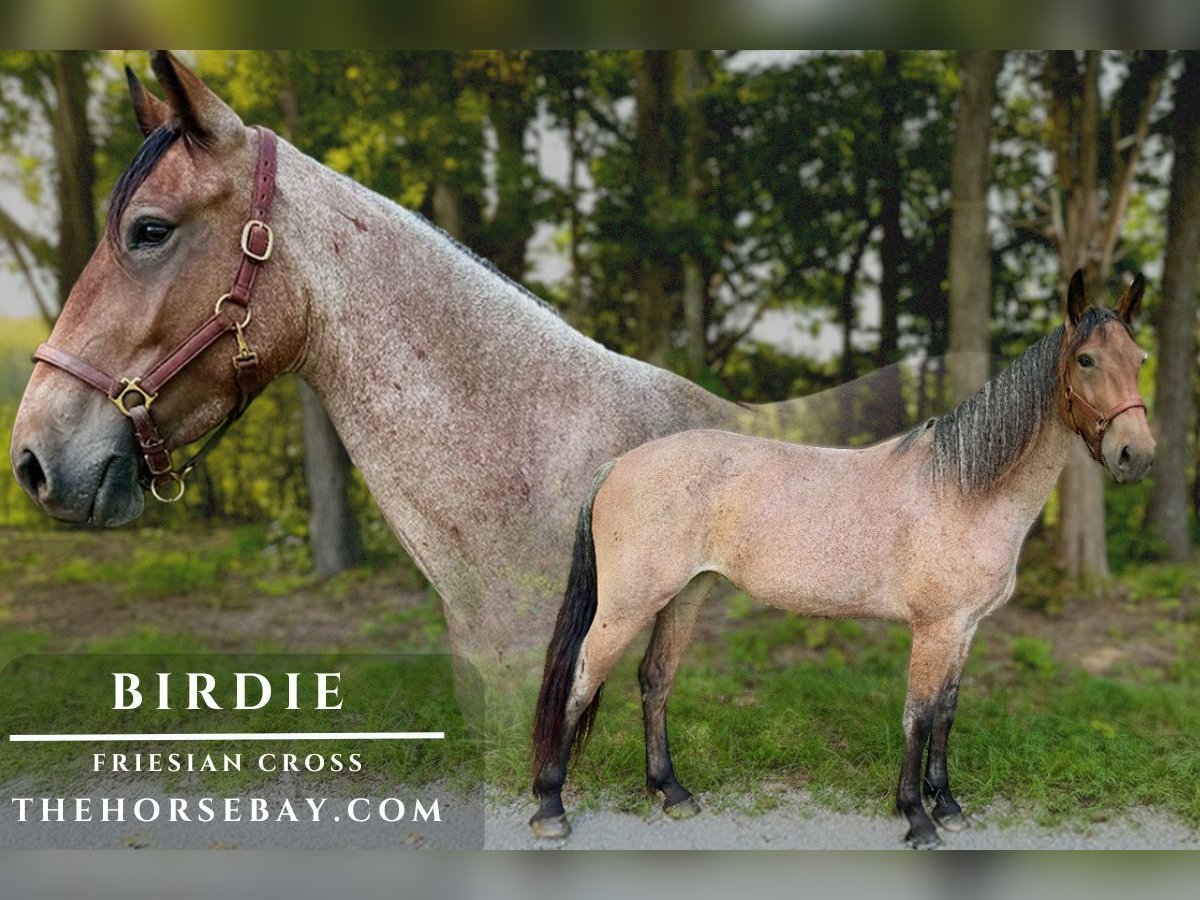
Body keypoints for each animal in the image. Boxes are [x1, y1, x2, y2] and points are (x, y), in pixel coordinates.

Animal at [530, 271, 1155, 848]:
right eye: (1086, 359)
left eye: (1139, 358)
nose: (1136, 455)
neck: (965, 488)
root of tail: (620, 464)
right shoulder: (936, 628)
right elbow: (918, 716)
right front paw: (917, 818)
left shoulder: (964, 628)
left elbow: (947, 711)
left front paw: (948, 806)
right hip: (629, 604)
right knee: (583, 679)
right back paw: (550, 807)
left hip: (685, 594)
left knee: (655, 679)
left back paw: (672, 792)